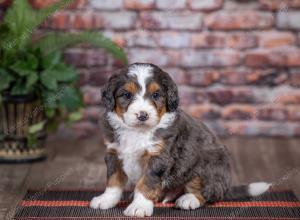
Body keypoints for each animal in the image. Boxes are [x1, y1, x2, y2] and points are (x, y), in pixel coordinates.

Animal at [90, 62, 270, 217]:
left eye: (156, 94)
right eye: (126, 95)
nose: (142, 115)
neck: (138, 132)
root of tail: (226, 186)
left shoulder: (159, 157)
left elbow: (146, 182)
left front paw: (139, 206)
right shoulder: (114, 152)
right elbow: (113, 180)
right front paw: (106, 200)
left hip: (208, 164)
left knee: (206, 192)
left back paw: (188, 199)